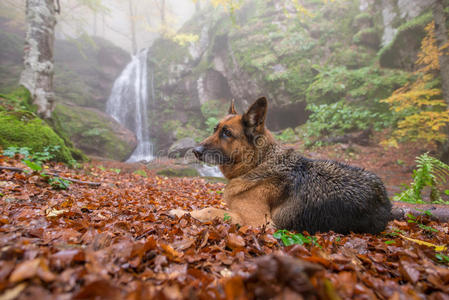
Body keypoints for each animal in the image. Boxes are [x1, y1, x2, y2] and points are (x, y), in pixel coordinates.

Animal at [170, 97, 390, 233]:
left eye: (227, 133)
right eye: (215, 129)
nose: (195, 151)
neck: (257, 164)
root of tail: (385, 200)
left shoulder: (258, 222)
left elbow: (210, 210)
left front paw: (180, 212)